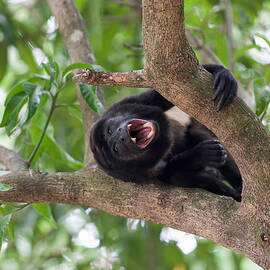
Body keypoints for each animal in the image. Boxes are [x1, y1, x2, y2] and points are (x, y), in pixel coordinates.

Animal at [90, 64, 243, 201]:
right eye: (115, 148)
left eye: (110, 130)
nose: (120, 134)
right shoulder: (130, 175)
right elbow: (167, 173)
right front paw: (200, 154)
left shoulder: (124, 105)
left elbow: (167, 91)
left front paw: (222, 74)